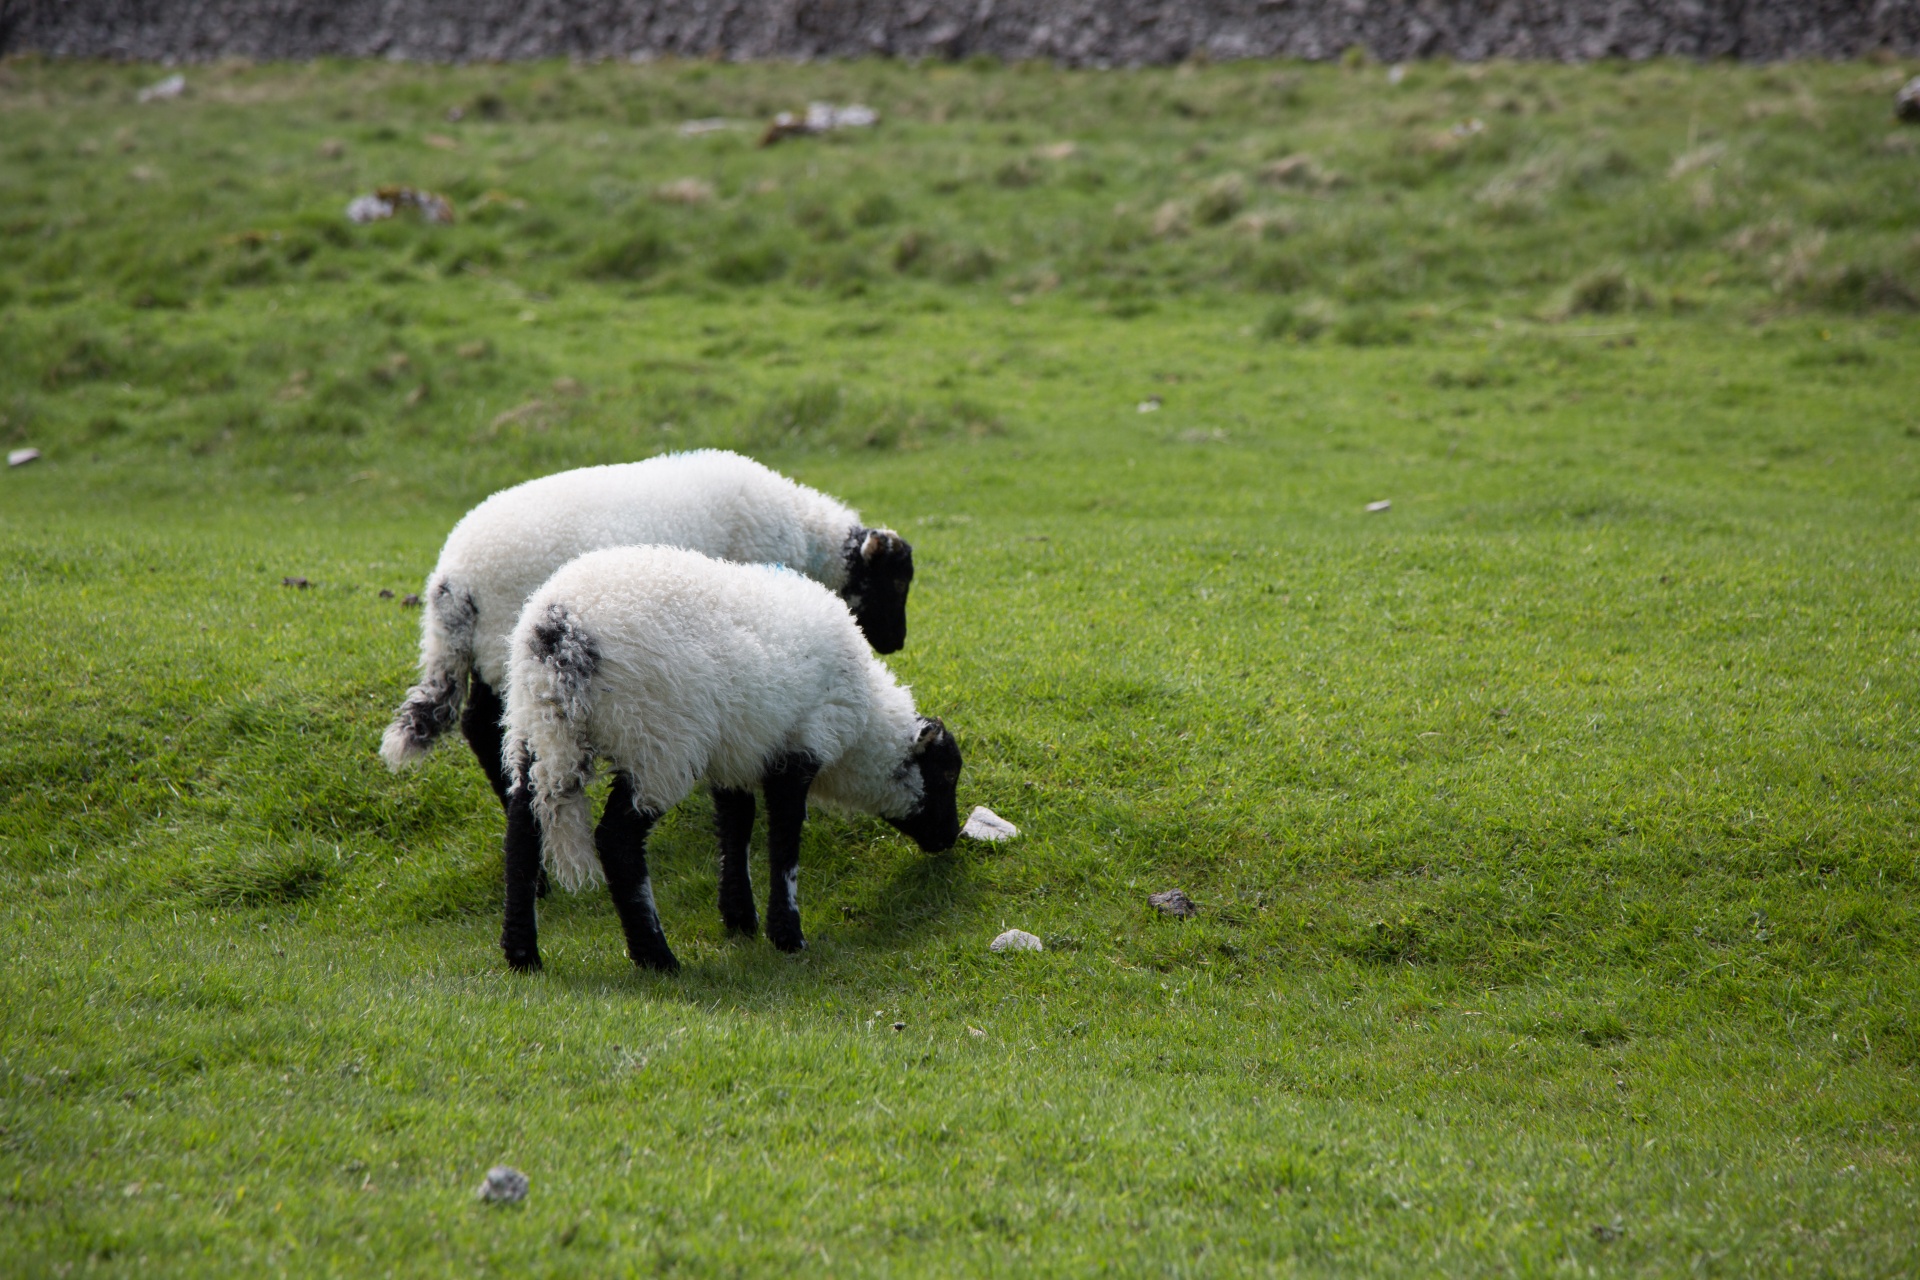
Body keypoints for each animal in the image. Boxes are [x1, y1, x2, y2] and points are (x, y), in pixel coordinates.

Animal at [380, 454, 913, 817]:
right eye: (893, 581)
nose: (896, 644)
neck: (804, 535)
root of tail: (451, 581)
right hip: (508, 650)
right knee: (482, 723)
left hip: (491, 654)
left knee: (477, 722)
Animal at [503, 541, 967, 971]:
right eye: (946, 776)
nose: (950, 837)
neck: (863, 729)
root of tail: (562, 633)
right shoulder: (804, 742)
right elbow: (784, 843)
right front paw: (787, 935)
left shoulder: (737, 752)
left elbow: (735, 826)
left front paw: (740, 918)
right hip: (658, 741)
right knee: (617, 840)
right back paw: (656, 957)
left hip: (533, 727)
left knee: (522, 826)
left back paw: (522, 955)